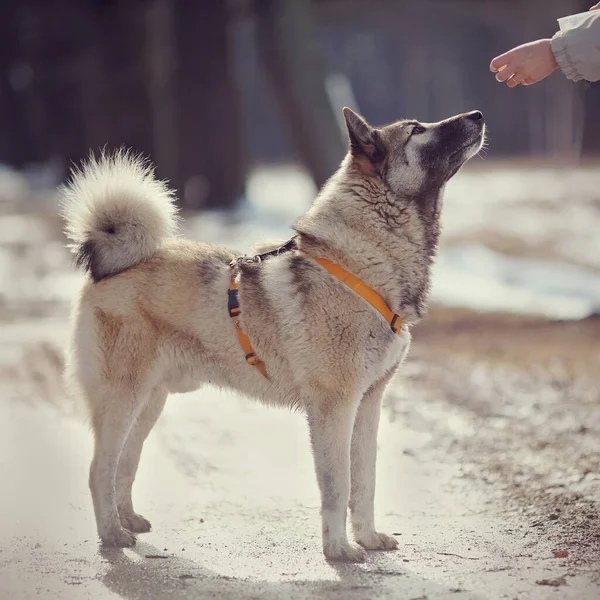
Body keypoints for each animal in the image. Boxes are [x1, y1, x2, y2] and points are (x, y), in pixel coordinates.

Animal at [59, 106, 482, 564]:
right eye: (417, 130)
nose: (478, 115)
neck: (361, 262)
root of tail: (110, 268)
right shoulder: (334, 408)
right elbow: (338, 486)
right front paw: (338, 549)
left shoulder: (368, 405)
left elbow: (365, 482)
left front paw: (367, 538)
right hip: (123, 397)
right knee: (100, 470)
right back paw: (111, 534)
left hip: (148, 403)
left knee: (124, 464)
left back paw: (128, 521)